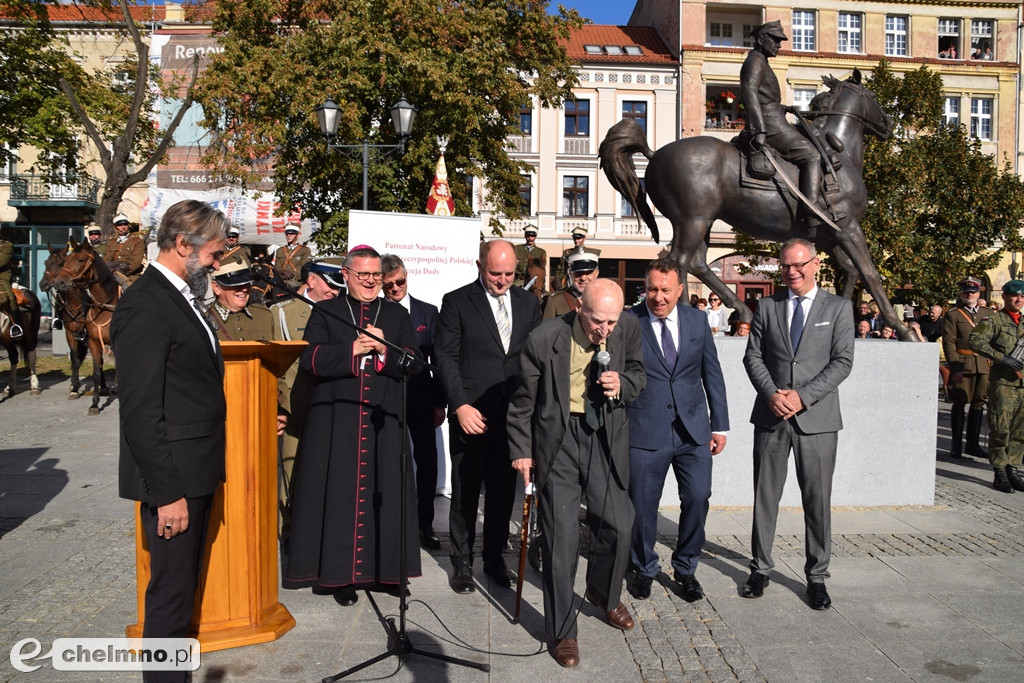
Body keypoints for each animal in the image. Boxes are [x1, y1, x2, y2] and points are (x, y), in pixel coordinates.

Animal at [45, 241, 119, 411]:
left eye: (81, 260)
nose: (58, 282)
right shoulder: (82, 337)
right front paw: (89, 400)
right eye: (45, 263)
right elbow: (82, 363)